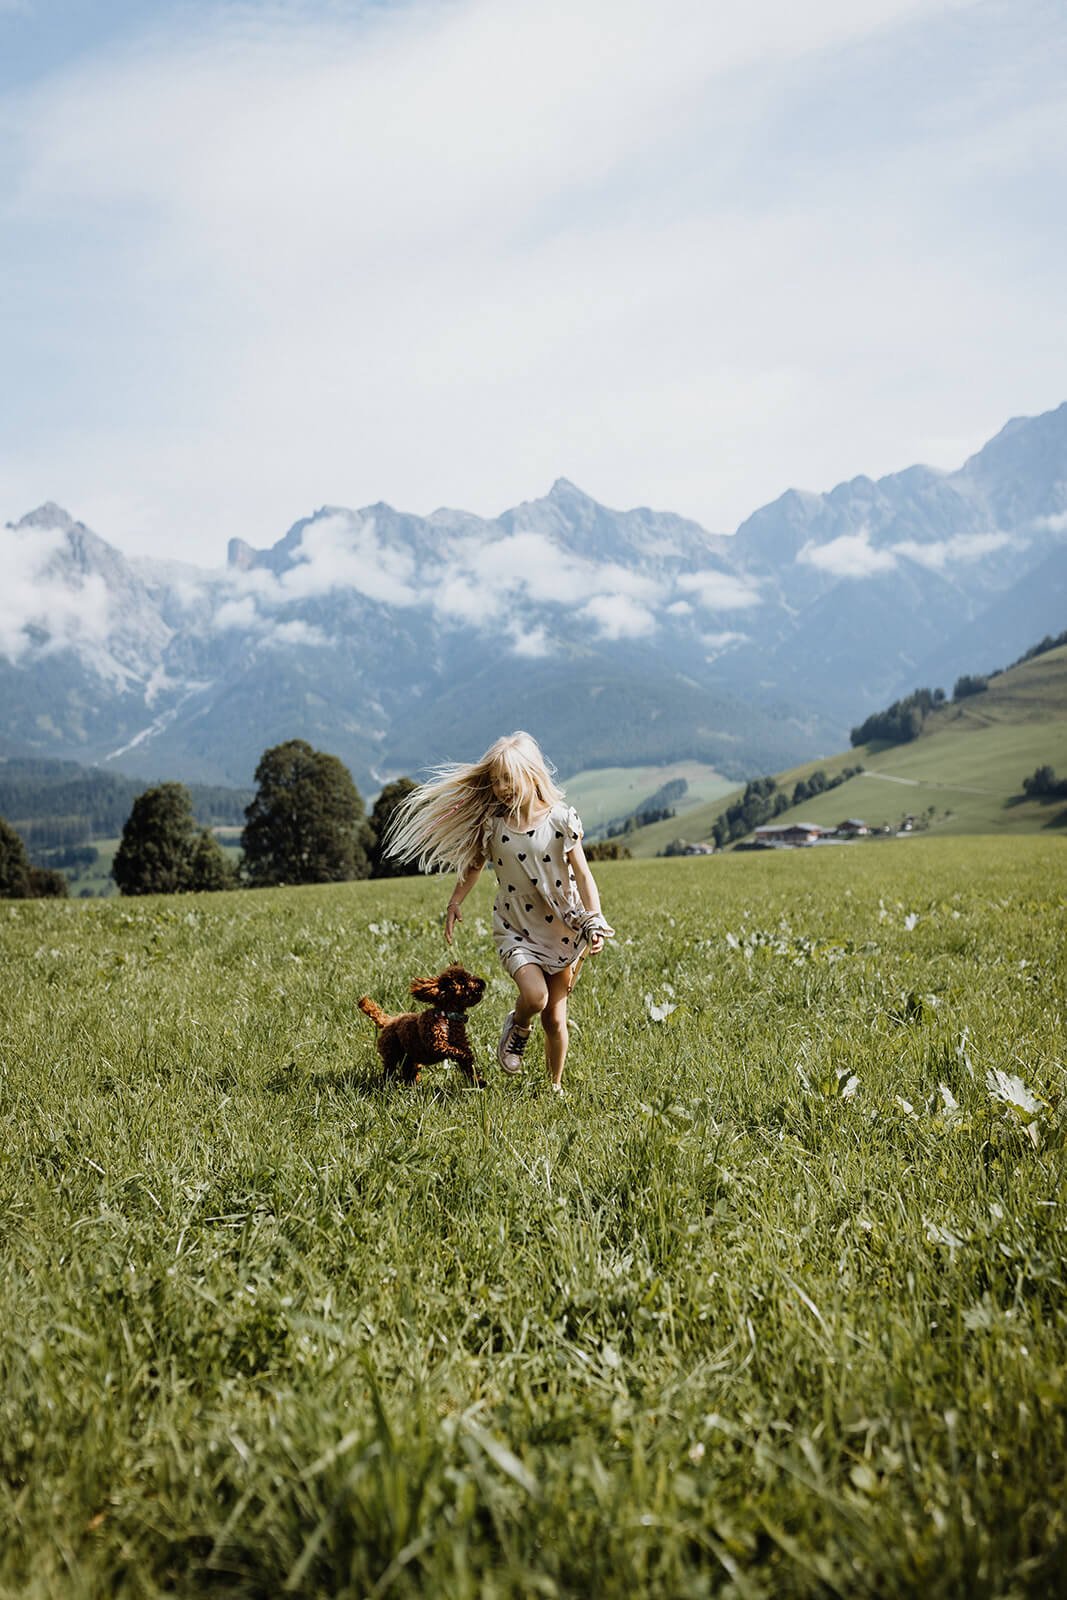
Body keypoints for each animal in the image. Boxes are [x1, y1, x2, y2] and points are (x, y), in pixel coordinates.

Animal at [361, 960, 489, 1088]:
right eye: (462, 981)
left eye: (469, 975)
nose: (482, 982)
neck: (447, 1016)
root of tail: (389, 1021)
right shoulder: (436, 1044)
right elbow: (457, 1051)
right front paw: (464, 1057)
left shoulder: (461, 1043)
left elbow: (468, 1064)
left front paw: (479, 1081)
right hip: (391, 1052)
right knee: (390, 1070)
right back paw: (387, 1084)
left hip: (409, 1057)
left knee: (409, 1071)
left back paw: (413, 1084)